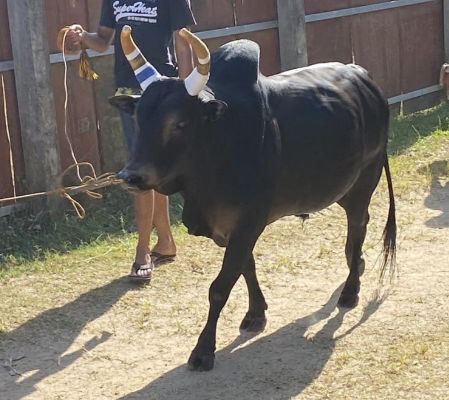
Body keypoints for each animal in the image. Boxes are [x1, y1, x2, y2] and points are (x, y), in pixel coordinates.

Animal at [112, 26, 397, 372]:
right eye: (138, 118)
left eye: (180, 122)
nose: (131, 176)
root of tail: (365, 78)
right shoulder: (232, 229)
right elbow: (247, 268)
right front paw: (256, 314)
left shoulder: (249, 223)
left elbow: (220, 287)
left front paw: (203, 350)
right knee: (357, 233)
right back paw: (357, 265)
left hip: (365, 181)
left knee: (358, 229)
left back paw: (350, 290)